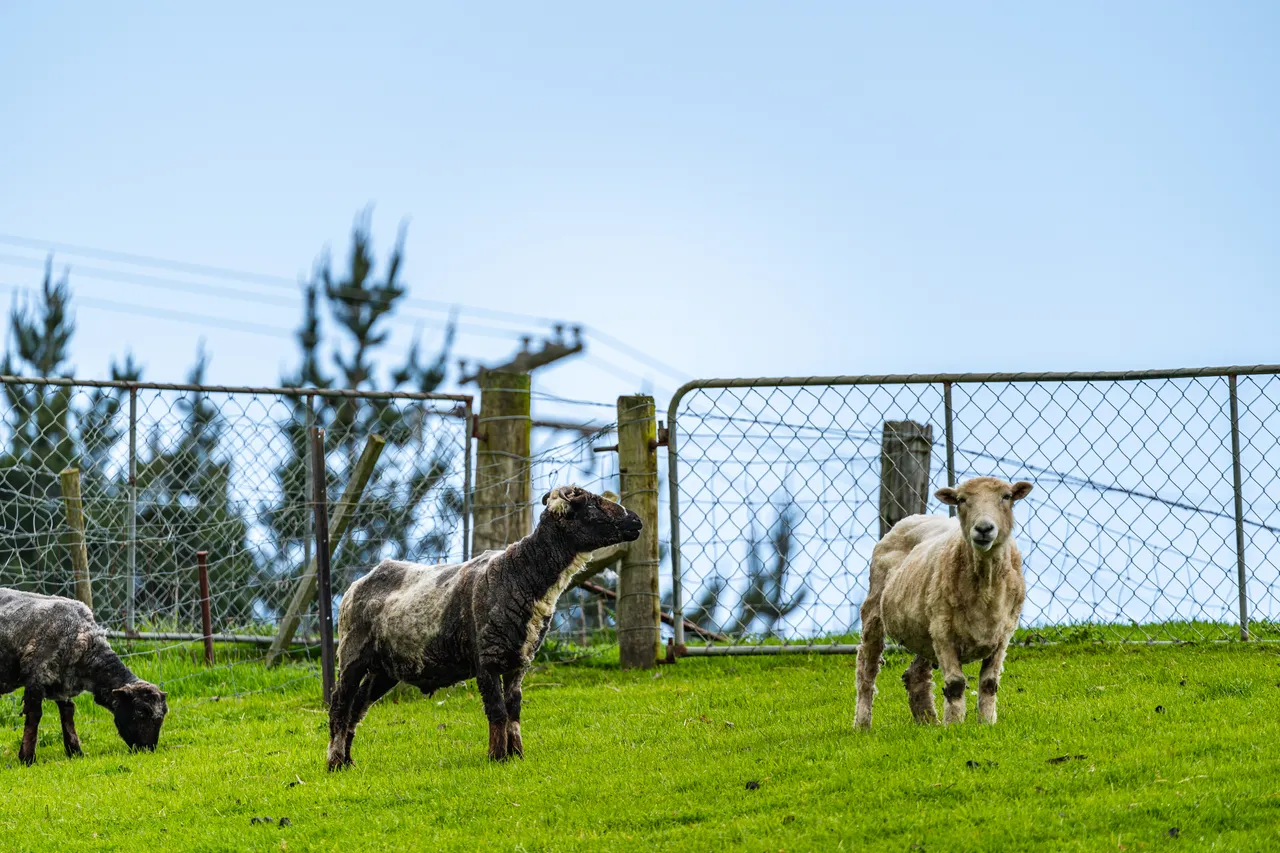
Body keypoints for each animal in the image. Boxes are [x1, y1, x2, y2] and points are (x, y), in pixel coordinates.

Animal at [0, 588, 169, 765]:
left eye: (163, 715)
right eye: (140, 712)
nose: (148, 749)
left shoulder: (63, 683)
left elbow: (68, 713)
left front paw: (75, 751)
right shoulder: (36, 676)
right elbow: (34, 715)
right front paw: (27, 758)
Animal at [327, 484, 642, 769]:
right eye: (592, 504)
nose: (637, 521)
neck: (522, 573)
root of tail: (358, 582)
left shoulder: (518, 662)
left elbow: (514, 711)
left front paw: (516, 755)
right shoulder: (487, 659)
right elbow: (497, 711)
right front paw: (497, 757)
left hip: (384, 669)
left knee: (357, 708)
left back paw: (349, 761)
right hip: (352, 654)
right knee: (340, 705)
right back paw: (334, 763)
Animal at [854, 476, 1033, 729]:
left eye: (1006, 497)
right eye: (961, 500)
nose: (984, 529)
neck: (986, 583)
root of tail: (910, 518)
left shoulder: (1003, 634)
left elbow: (989, 684)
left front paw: (986, 723)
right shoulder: (943, 631)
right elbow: (956, 684)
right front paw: (954, 725)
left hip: (924, 629)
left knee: (915, 675)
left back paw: (928, 722)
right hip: (876, 611)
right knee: (866, 669)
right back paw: (862, 723)